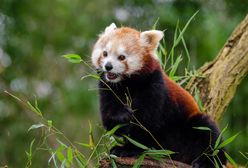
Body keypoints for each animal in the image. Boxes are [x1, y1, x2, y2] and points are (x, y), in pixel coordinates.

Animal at [91, 23, 227, 167]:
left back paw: (208, 161)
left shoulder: (153, 85)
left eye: (122, 57)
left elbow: (147, 123)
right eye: (105, 53)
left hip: (190, 124)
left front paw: (129, 148)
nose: (108, 66)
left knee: (209, 132)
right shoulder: (107, 88)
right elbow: (110, 119)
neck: (126, 84)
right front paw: (122, 116)